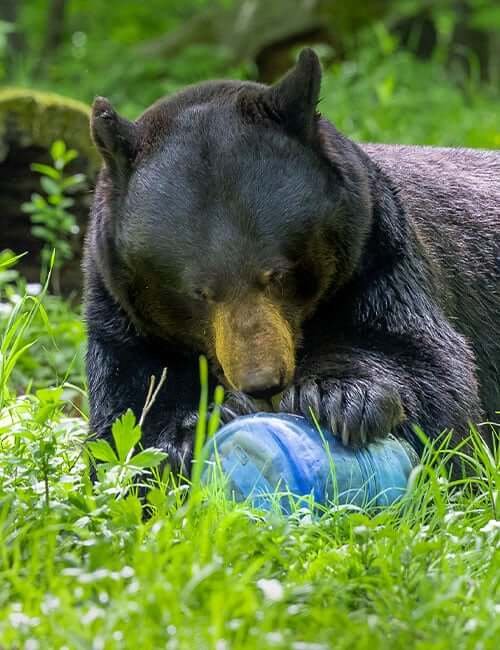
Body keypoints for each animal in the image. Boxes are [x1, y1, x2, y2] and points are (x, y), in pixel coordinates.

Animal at [84, 48, 499, 473]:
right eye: (198, 292)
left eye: (277, 275)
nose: (263, 383)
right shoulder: (120, 311)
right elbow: (127, 404)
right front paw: (188, 434)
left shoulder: (380, 251)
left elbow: (430, 366)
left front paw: (339, 396)